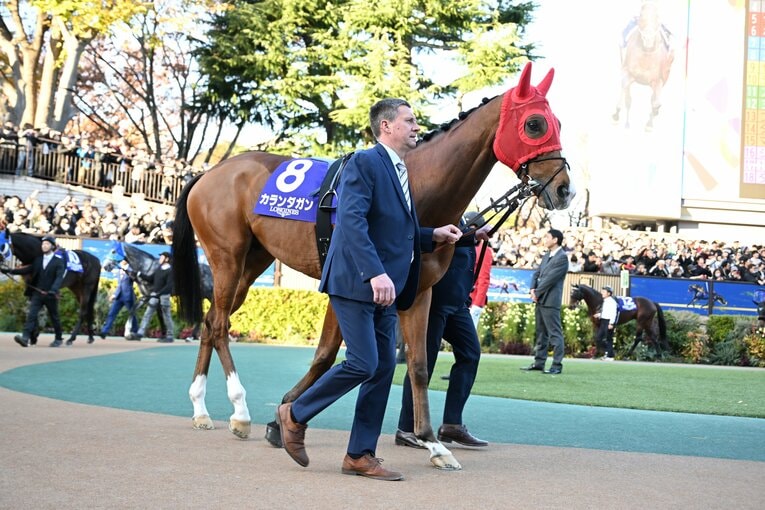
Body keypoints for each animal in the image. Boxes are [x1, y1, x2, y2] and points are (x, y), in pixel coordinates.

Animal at [171, 62, 575, 471]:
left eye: (557, 121)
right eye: (535, 124)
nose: (565, 189)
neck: (417, 187)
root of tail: (209, 173)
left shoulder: (418, 292)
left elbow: (418, 365)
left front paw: (434, 444)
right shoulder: (348, 284)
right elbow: (326, 356)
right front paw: (282, 417)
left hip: (253, 263)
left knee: (211, 320)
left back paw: (200, 408)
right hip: (227, 257)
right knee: (220, 325)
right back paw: (239, 411)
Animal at [612, 1, 674, 131]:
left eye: (657, 15)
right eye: (641, 14)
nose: (648, 39)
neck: (646, 54)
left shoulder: (658, 80)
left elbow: (655, 101)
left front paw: (651, 121)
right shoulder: (627, 72)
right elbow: (625, 92)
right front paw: (616, 115)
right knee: (628, 97)